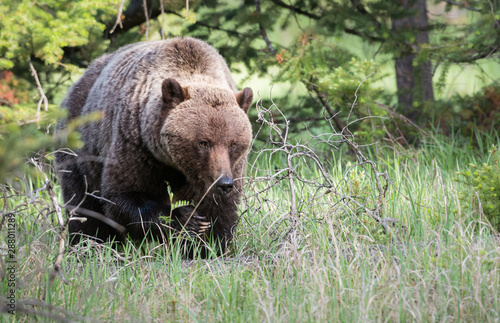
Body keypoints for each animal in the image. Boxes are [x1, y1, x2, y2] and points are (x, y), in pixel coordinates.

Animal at [54, 37, 254, 256]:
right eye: (204, 143)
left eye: (232, 143)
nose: (223, 182)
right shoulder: (136, 144)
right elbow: (123, 195)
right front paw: (186, 219)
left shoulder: (229, 168)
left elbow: (220, 208)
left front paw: (209, 245)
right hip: (79, 148)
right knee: (84, 206)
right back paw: (88, 245)